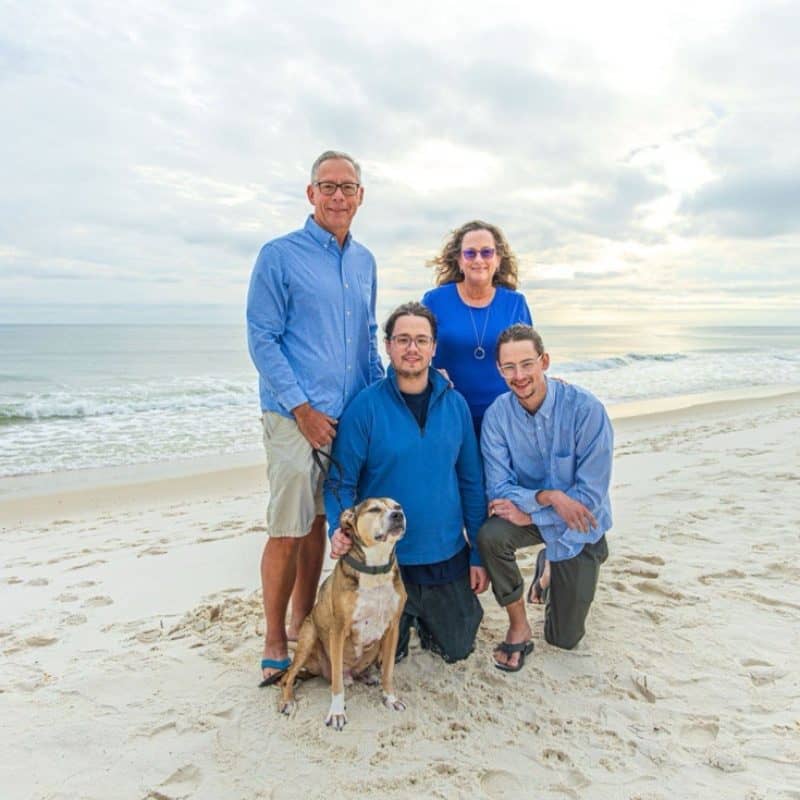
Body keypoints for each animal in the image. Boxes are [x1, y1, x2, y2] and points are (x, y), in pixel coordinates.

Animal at [280, 496, 406, 728]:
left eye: (397, 506)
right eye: (374, 509)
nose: (398, 515)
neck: (375, 567)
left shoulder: (393, 628)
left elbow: (388, 671)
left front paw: (390, 698)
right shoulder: (338, 631)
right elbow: (337, 684)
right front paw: (337, 713)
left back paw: (367, 676)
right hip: (308, 638)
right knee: (288, 677)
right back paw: (287, 701)